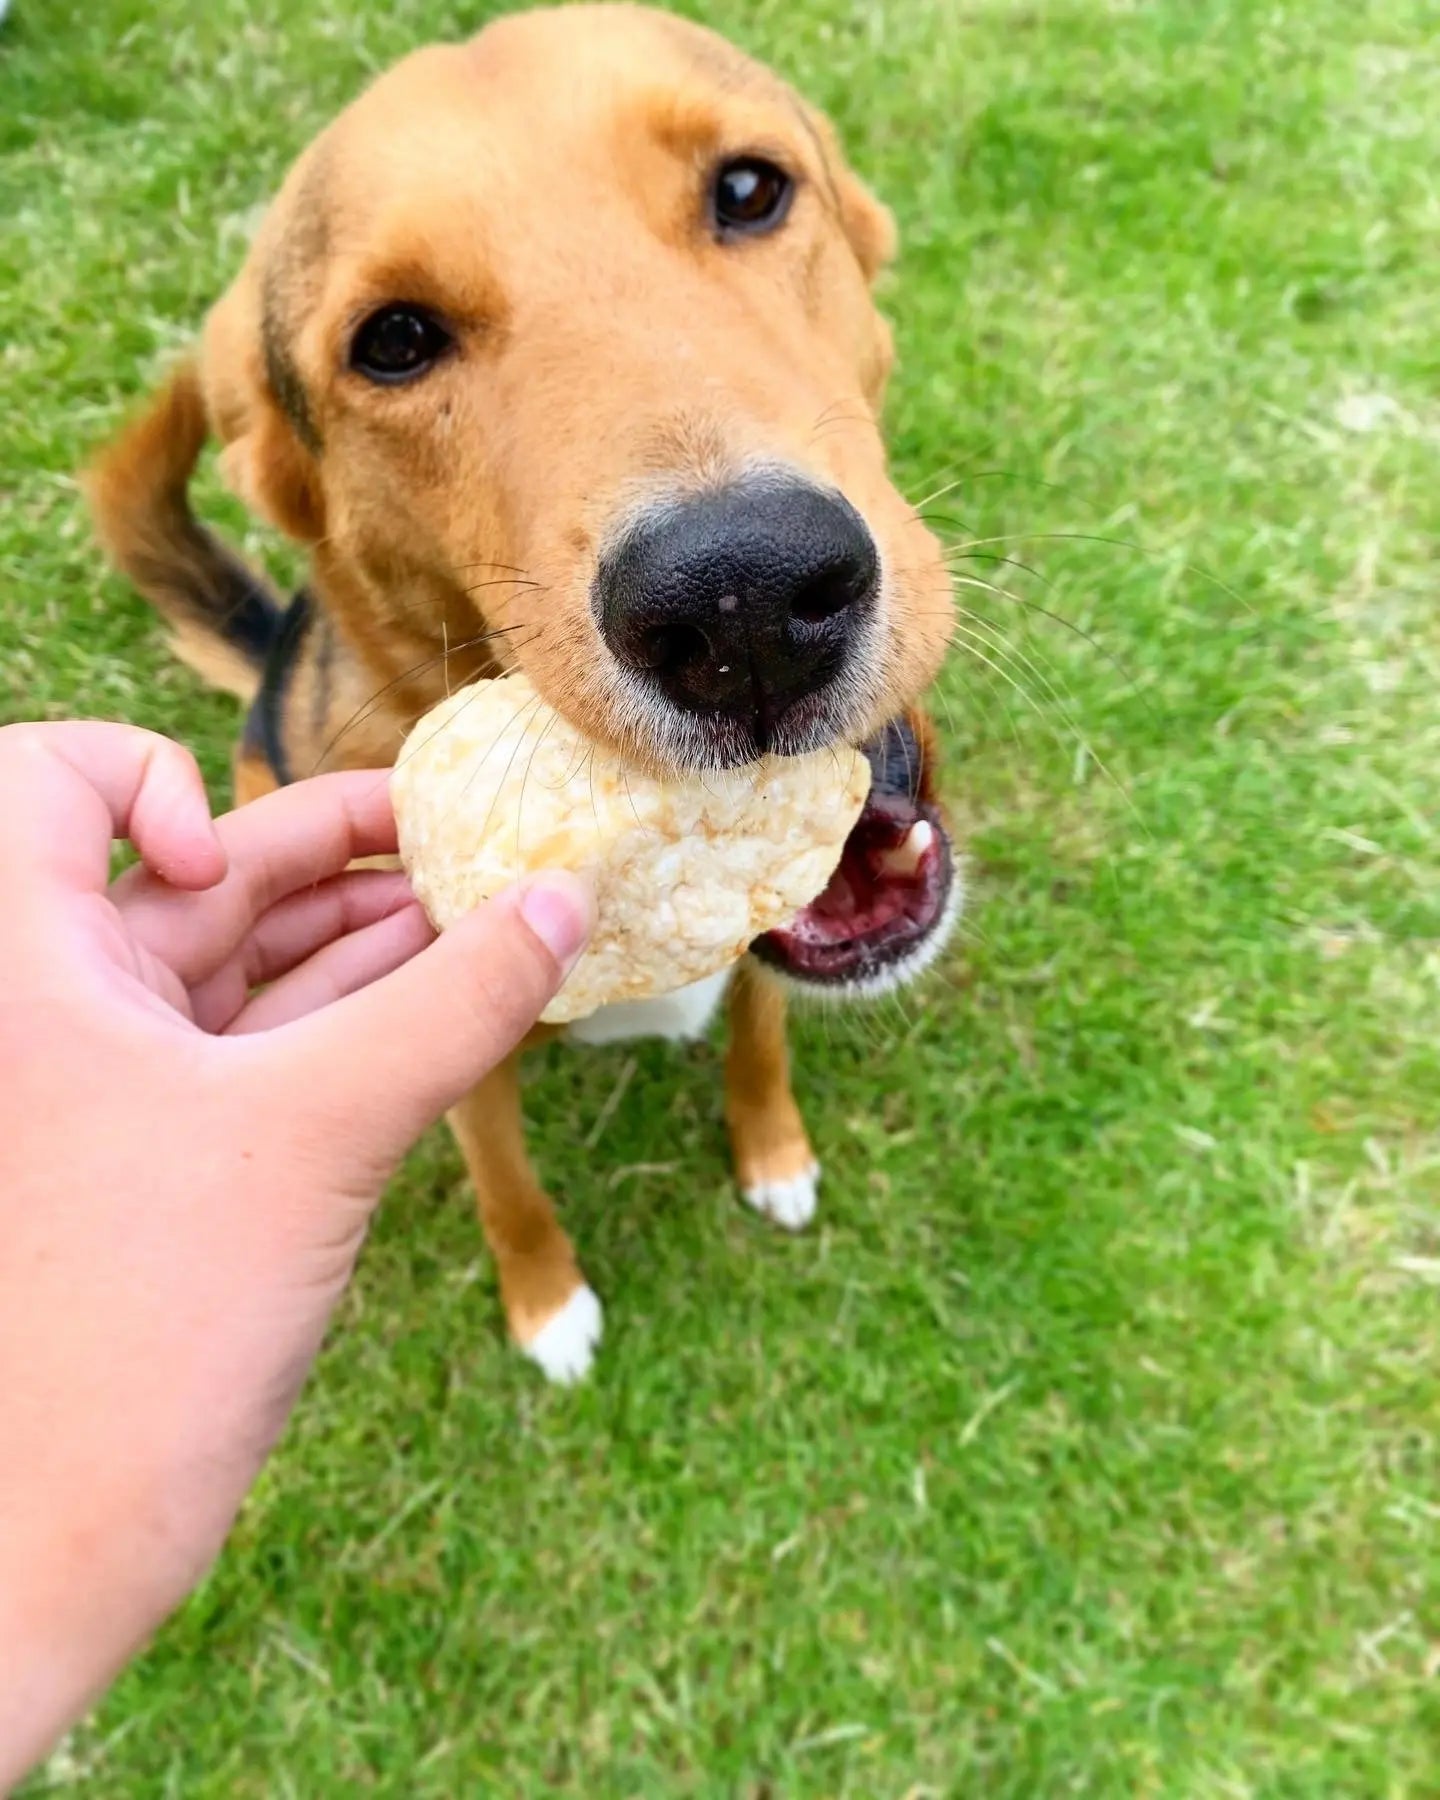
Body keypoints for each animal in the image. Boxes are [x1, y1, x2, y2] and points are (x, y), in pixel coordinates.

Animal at [92, 3, 964, 1375]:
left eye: (750, 190)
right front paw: (546, 1305)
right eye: (393, 341)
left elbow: (761, 1038)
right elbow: (510, 1192)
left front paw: (772, 1150)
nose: (745, 603)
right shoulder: (452, 1058)